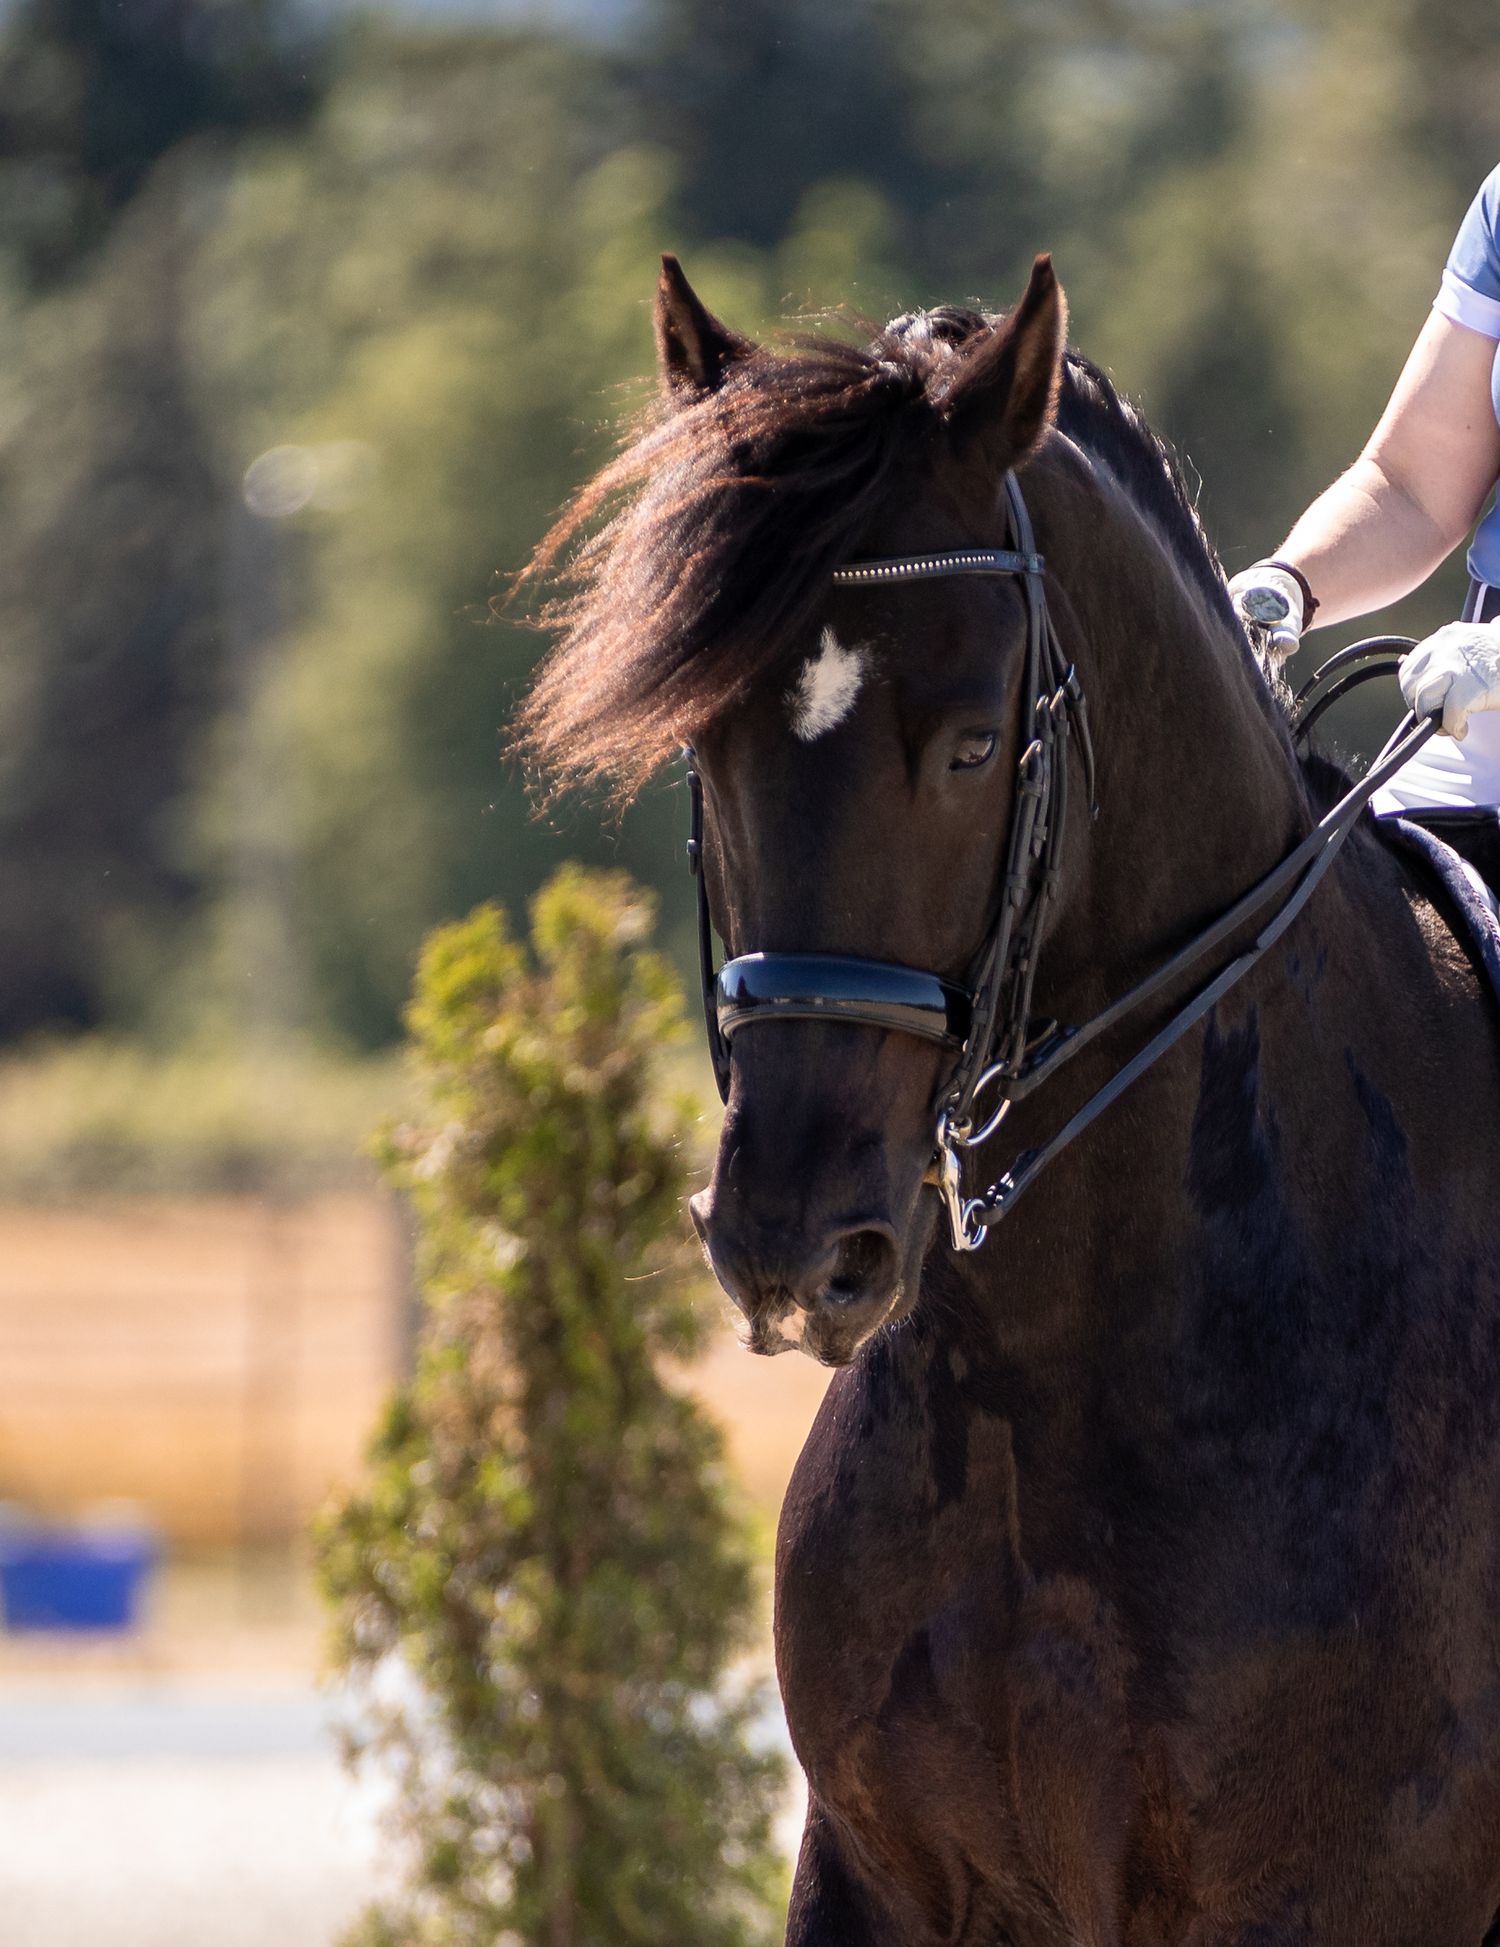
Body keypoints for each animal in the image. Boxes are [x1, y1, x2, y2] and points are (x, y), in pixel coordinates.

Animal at [518, 253, 1500, 1945]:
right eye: (706, 739)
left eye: (977, 743)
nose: (793, 1241)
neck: (1062, 1373)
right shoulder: (876, 1874)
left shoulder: (1335, 1895)